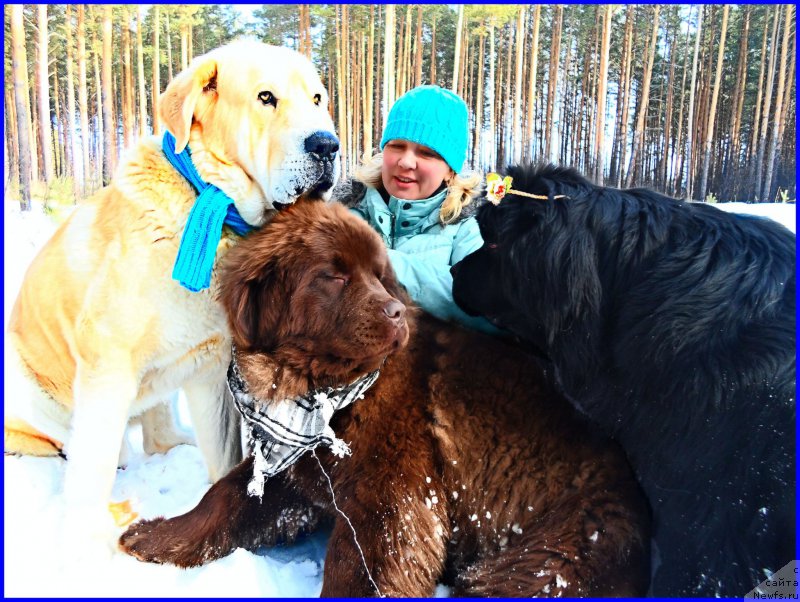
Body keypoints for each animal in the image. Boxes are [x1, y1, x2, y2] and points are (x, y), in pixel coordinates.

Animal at [1, 39, 338, 548]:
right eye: (266, 98)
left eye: (317, 99)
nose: (327, 145)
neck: (212, 206)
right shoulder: (107, 363)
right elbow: (93, 468)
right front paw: (86, 542)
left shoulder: (213, 369)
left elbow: (223, 455)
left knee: (154, 433)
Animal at [119, 202, 648, 596]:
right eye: (333, 276)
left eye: (378, 275)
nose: (395, 313)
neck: (317, 391)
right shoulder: (298, 469)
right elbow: (223, 498)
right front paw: (155, 538)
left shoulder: (392, 491)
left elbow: (364, 563)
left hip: (549, 555)